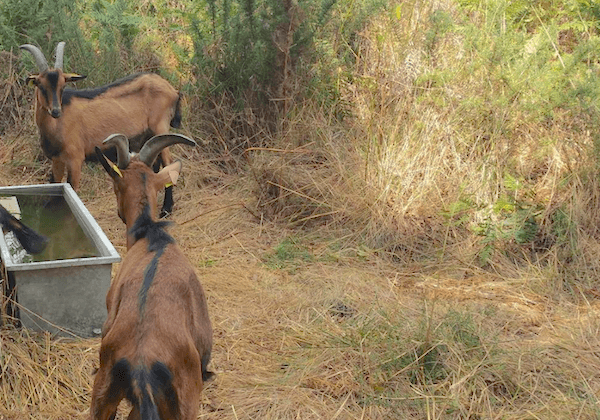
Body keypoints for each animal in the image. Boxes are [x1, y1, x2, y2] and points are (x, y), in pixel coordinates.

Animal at [20, 42, 183, 218]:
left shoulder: (75, 159)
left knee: (168, 164)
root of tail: (173, 90)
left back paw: (166, 209)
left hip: (160, 128)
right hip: (148, 137)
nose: (56, 111)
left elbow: (72, 189)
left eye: (62, 86)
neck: (57, 125)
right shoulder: (57, 160)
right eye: (41, 86)